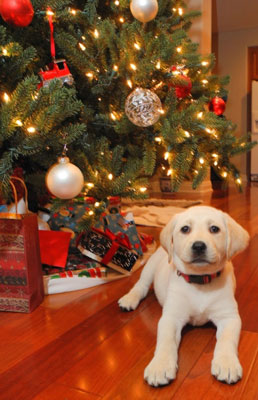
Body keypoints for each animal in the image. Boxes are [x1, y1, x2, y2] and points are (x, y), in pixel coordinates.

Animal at [118, 205, 249, 386]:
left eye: (214, 229)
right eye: (185, 229)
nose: (199, 246)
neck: (199, 281)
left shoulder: (229, 317)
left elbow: (227, 339)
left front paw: (227, 363)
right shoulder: (171, 317)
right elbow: (166, 341)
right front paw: (160, 366)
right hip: (150, 266)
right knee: (141, 285)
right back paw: (129, 299)